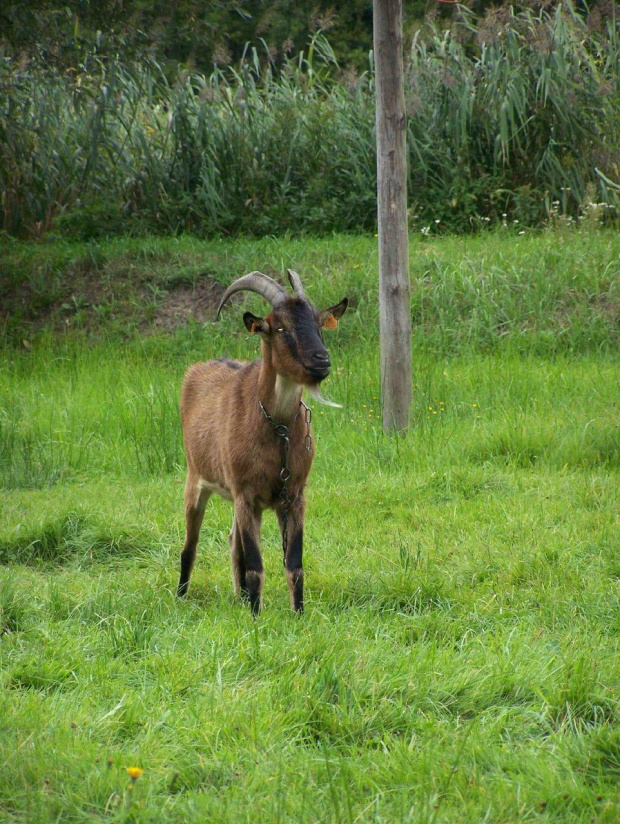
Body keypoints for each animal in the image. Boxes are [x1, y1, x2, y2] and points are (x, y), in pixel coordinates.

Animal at [178, 270, 348, 612]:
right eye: (280, 327)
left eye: (318, 322)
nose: (321, 360)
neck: (277, 429)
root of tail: (198, 368)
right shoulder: (245, 492)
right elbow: (255, 565)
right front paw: (255, 618)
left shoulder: (293, 495)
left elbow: (294, 564)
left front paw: (298, 614)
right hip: (197, 479)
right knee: (191, 544)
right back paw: (180, 597)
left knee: (234, 542)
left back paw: (240, 598)